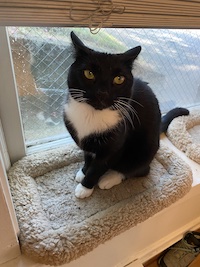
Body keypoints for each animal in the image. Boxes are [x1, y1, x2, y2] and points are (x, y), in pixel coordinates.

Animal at [64, 31, 189, 199]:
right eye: (89, 73)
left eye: (119, 79)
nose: (102, 93)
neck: (92, 114)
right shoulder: (86, 142)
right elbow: (88, 156)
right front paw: (83, 172)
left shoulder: (115, 145)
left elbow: (98, 167)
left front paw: (85, 187)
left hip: (145, 148)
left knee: (140, 169)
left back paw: (110, 178)